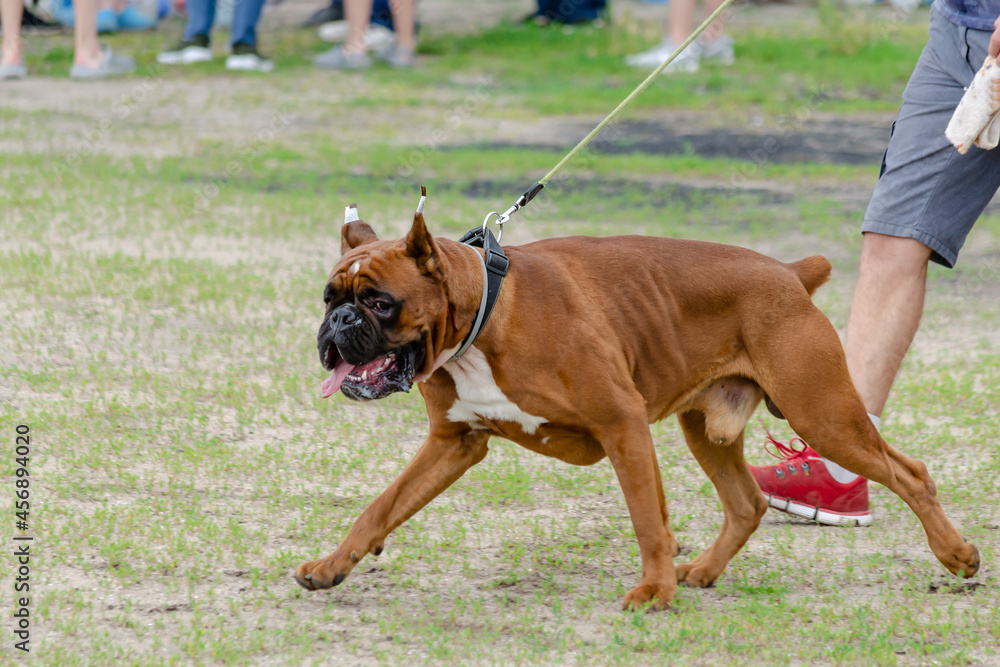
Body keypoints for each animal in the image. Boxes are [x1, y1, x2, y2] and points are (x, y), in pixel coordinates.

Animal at [292, 205, 980, 612]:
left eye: (381, 303)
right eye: (329, 296)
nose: (339, 323)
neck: (485, 316)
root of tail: (790, 272)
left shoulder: (621, 425)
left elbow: (648, 520)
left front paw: (654, 589)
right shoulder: (453, 443)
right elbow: (381, 508)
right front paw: (332, 567)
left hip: (824, 417)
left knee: (910, 472)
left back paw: (956, 555)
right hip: (708, 430)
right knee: (747, 503)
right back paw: (703, 571)